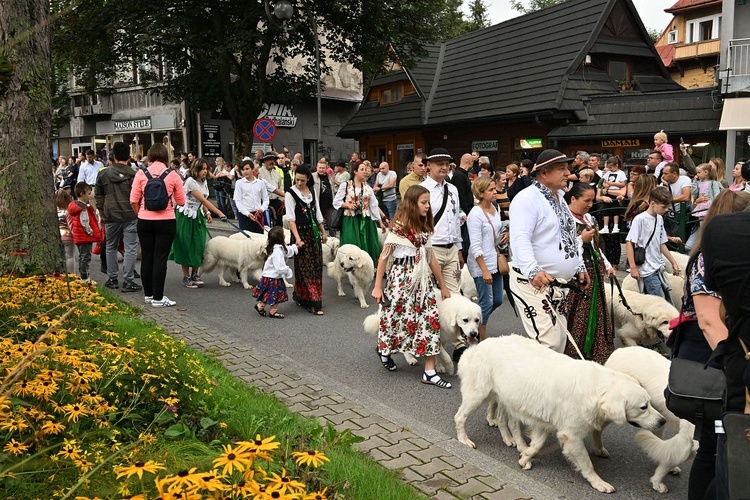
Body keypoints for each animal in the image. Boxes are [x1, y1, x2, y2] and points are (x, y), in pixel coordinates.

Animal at [456, 334, 668, 494]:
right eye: (643, 407)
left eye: (649, 403)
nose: (663, 421)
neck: (595, 390)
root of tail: (480, 344)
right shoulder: (571, 435)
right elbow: (586, 463)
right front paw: (599, 483)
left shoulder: (547, 423)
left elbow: (538, 445)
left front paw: (525, 457)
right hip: (478, 394)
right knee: (459, 417)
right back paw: (464, 440)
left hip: (508, 399)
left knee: (505, 421)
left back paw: (514, 442)